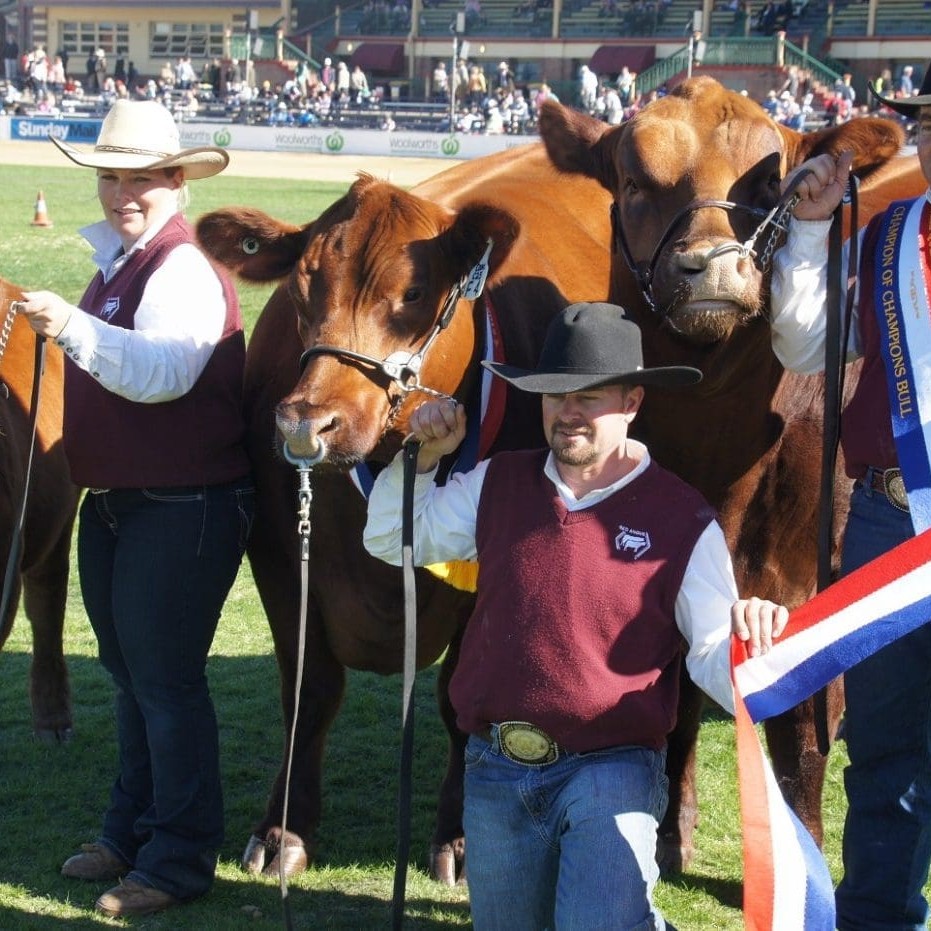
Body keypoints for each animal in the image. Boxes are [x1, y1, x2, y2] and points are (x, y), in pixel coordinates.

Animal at [196, 149, 616, 884]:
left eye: (415, 293)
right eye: (300, 291)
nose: (307, 422)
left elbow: (461, 698)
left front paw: (462, 836)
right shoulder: (277, 555)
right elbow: (308, 690)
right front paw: (282, 829)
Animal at [536, 74, 928, 872]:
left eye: (772, 182)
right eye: (632, 180)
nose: (713, 263)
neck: (716, 455)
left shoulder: (811, 579)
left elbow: (804, 733)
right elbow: (675, 698)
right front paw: (669, 829)